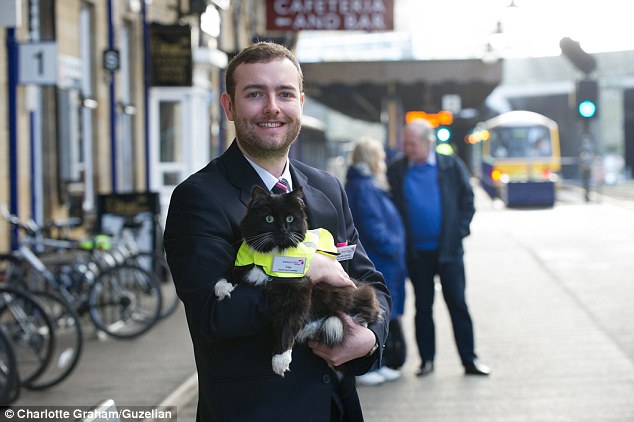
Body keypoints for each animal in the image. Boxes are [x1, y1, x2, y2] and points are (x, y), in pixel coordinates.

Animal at [214, 185, 380, 376]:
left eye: (290, 218)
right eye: (269, 219)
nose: (282, 229)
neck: (271, 256)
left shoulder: (299, 290)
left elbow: (289, 323)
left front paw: (280, 359)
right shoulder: (246, 265)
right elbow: (235, 270)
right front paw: (222, 286)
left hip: (349, 293)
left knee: (369, 309)